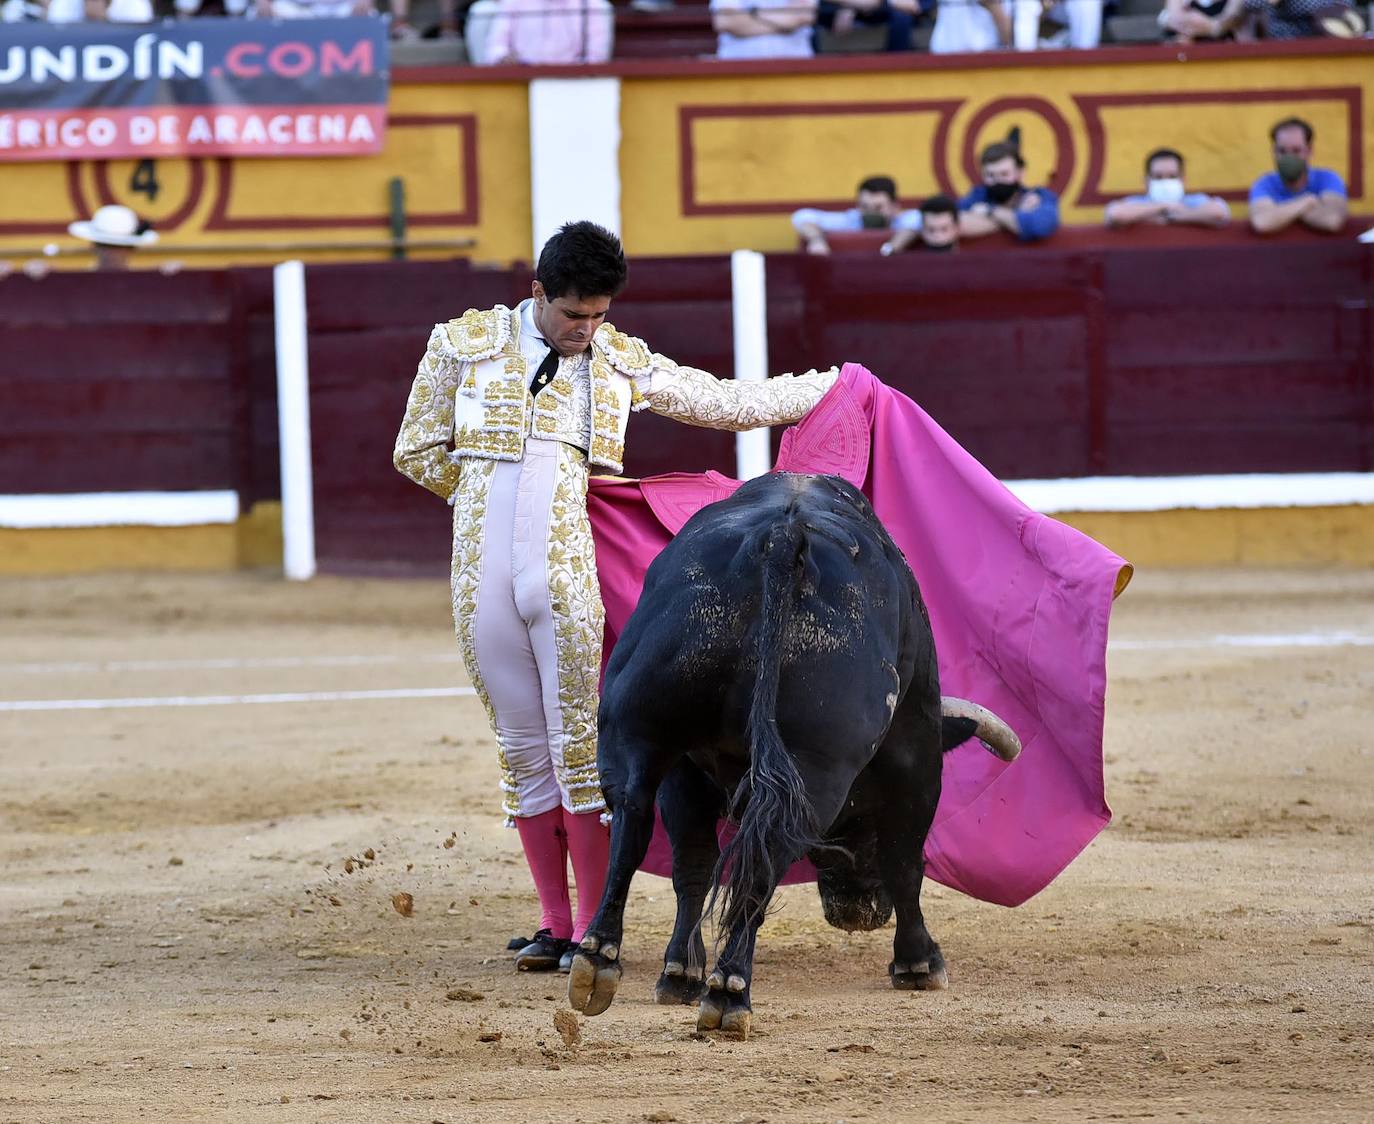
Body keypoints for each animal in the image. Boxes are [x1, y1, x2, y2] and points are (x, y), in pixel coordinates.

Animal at [568, 469, 1022, 1033]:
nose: (858, 912)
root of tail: (780, 538)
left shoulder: (684, 773)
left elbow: (691, 863)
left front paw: (679, 972)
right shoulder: (916, 753)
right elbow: (905, 859)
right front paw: (919, 963)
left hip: (641, 729)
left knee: (635, 819)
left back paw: (601, 960)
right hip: (817, 767)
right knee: (770, 851)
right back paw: (728, 991)